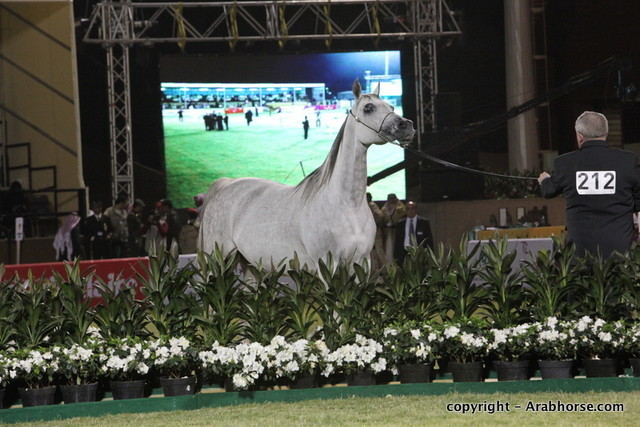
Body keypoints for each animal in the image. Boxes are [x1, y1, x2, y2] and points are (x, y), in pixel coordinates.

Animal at [198, 79, 415, 270]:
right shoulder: (327, 265)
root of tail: (225, 184)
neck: (346, 205)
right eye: (368, 108)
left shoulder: (361, 262)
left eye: (391, 106)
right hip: (216, 259)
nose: (407, 126)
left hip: (249, 264)